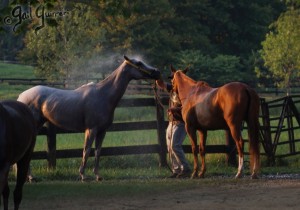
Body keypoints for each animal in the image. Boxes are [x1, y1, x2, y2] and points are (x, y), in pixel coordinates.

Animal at [17, 55, 161, 180]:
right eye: (139, 63)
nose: (157, 72)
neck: (103, 95)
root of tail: (21, 97)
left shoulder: (102, 131)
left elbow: (97, 151)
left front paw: (98, 175)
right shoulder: (91, 129)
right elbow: (86, 150)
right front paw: (83, 175)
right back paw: (30, 177)